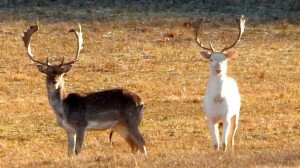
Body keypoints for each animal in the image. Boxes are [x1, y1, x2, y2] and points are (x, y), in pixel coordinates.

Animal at [22, 24, 146, 156]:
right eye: (47, 73)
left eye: (61, 73)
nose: (54, 82)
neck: (63, 112)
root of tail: (141, 101)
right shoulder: (69, 130)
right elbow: (69, 152)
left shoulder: (81, 125)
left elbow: (77, 150)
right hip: (120, 125)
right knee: (134, 145)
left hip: (131, 120)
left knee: (142, 142)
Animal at [195, 15, 246, 151]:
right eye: (211, 59)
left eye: (225, 59)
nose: (218, 69)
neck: (217, 99)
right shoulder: (210, 117)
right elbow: (215, 144)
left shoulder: (226, 116)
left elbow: (223, 144)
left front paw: (224, 151)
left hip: (236, 112)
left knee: (232, 135)